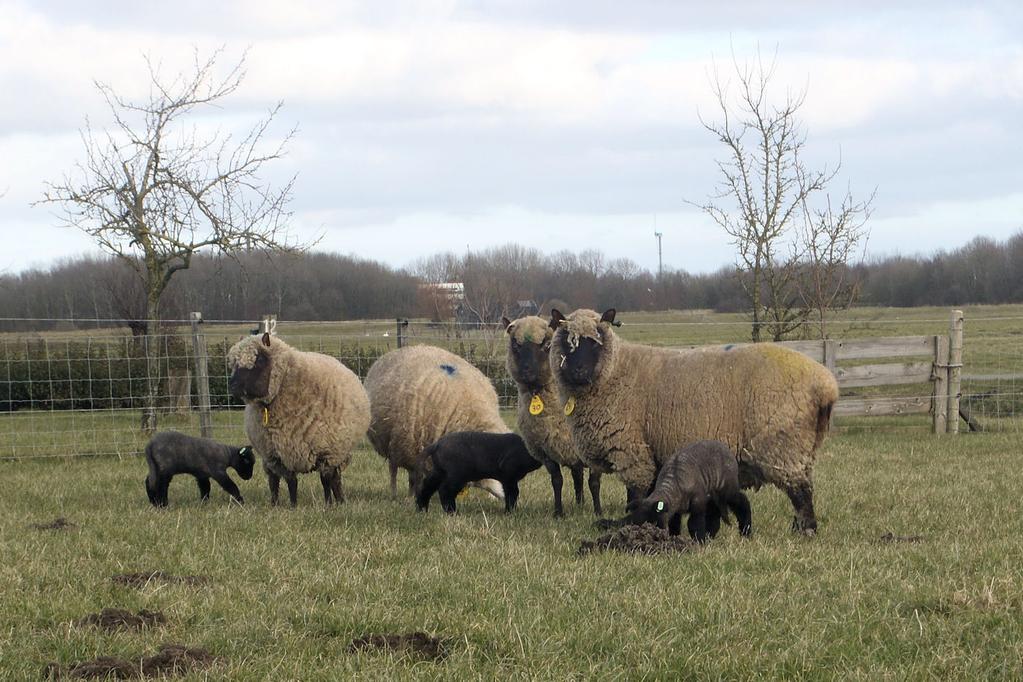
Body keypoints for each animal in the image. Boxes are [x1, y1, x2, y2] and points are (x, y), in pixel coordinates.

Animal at [226, 331, 370, 507]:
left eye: (259, 359)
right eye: (233, 364)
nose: (232, 387)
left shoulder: (326, 452)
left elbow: (325, 481)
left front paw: (328, 505)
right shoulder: (278, 454)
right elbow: (288, 482)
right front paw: (291, 506)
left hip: (339, 453)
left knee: (335, 479)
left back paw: (340, 501)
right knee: (273, 480)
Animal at [415, 435, 544, 515]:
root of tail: (436, 445)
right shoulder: (509, 475)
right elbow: (512, 494)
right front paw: (509, 512)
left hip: (439, 471)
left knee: (426, 487)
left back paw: (422, 510)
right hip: (456, 474)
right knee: (444, 490)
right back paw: (453, 513)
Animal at [501, 314, 601, 517]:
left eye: (546, 345)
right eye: (515, 344)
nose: (527, 371)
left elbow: (594, 483)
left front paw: (597, 512)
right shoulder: (546, 451)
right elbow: (557, 481)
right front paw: (558, 513)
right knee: (577, 476)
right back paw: (579, 504)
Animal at [613, 443, 752, 543]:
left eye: (653, 522)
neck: (674, 485)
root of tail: (726, 450)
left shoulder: (698, 501)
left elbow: (694, 524)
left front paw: (699, 542)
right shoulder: (674, 510)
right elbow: (674, 524)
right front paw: (674, 538)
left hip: (726, 489)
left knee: (742, 502)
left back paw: (746, 530)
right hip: (714, 497)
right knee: (714, 516)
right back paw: (711, 535)